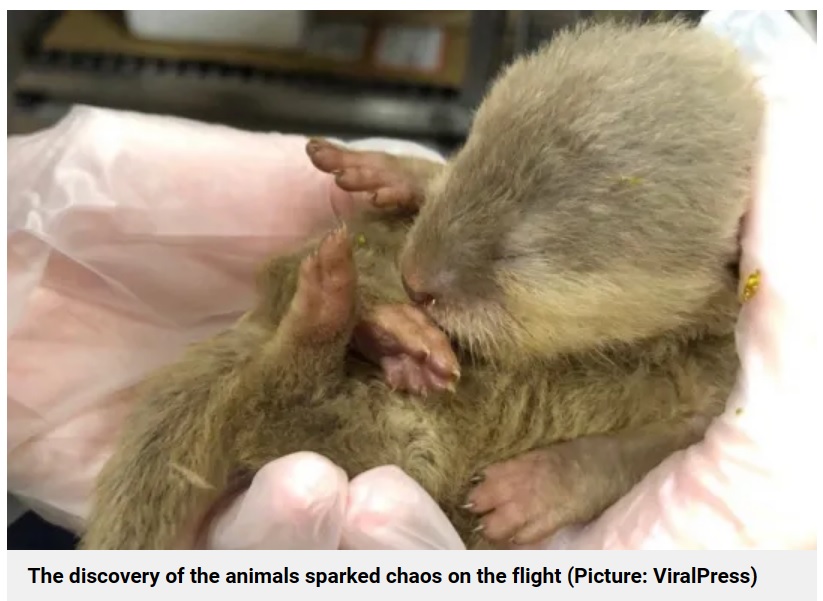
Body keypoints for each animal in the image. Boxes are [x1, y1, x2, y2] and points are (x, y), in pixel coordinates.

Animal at [80, 21, 764, 548]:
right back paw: (373, 319)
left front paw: (533, 489)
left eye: (517, 253)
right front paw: (388, 172)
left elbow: (651, 450)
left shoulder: (714, 381)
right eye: (468, 157)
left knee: (263, 407)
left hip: (387, 438)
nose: (416, 281)